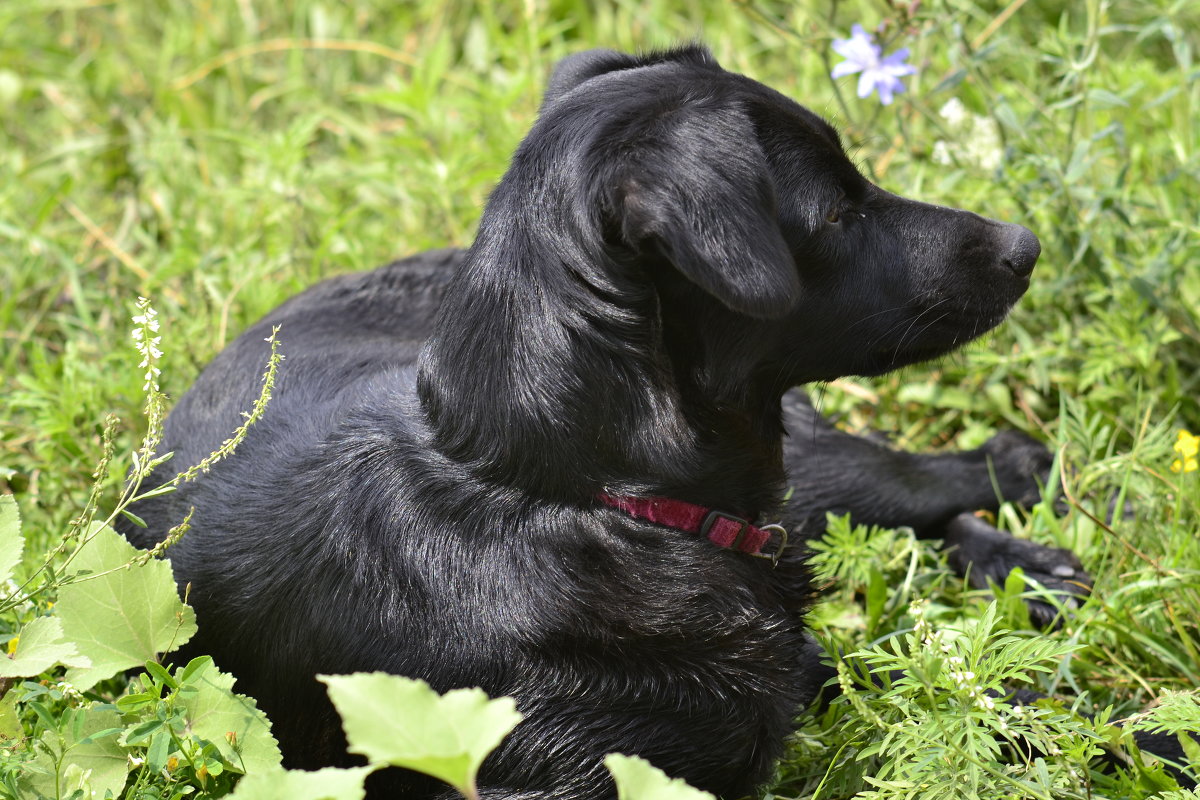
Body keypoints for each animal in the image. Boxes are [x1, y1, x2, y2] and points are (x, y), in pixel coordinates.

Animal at [121, 47, 1080, 796]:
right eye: (839, 210)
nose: (1026, 244)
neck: (573, 496)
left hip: (815, 474)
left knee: (920, 481)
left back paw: (1026, 554)